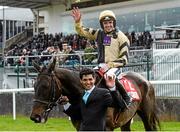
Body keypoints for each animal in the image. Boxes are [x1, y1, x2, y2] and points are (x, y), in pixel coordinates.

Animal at [29, 59, 160, 131]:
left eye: (46, 86)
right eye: (34, 86)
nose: (35, 117)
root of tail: (146, 81)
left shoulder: (107, 128)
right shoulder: (80, 127)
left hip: (147, 117)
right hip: (126, 120)